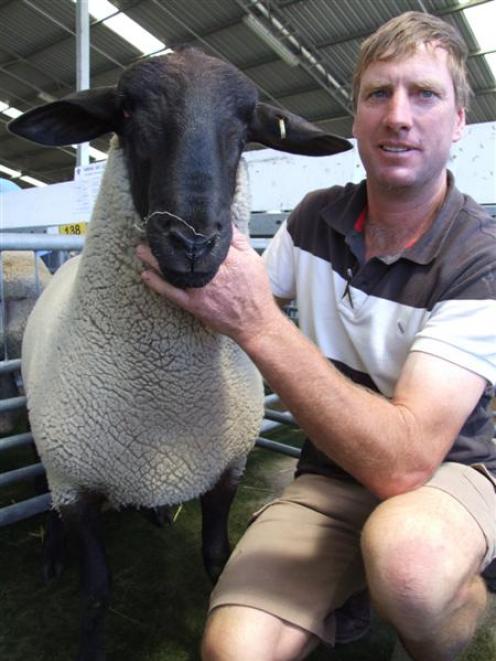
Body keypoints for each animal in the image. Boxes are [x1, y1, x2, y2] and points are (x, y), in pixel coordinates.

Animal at [6, 47, 348, 660]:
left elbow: (217, 557)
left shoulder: (227, 469)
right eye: (126, 114)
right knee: (44, 492)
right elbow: (96, 595)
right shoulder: (76, 483)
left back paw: (161, 512)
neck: (168, 395)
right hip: (48, 443)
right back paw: (51, 553)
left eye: (245, 126)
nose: (191, 242)